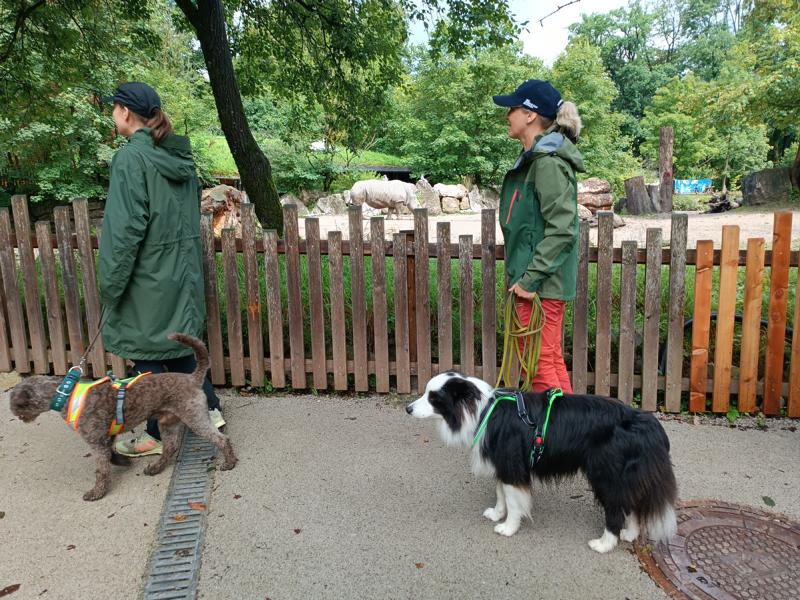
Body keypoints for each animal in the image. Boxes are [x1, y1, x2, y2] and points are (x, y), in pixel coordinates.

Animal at [9, 333, 237, 501]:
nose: (14, 412)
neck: (66, 394)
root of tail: (192, 378)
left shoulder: (96, 442)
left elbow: (101, 470)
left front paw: (97, 492)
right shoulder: (106, 438)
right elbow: (111, 455)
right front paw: (123, 461)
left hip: (194, 417)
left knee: (222, 439)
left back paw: (230, 462)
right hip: (168, 422)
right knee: (170, 447)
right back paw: (156, 468)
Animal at [406, 372, 677, 553]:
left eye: (434, 397)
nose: (408, 409)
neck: (482, 412)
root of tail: (647, 422)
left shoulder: (512, 465)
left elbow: (514, 501)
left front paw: (508, 528)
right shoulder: (503, 462)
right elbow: (501, 493)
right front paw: (497, 514)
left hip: (605, 474)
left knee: (615, 508)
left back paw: (604, 543)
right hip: (623, 476)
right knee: (630, 503)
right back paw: (630, 534)